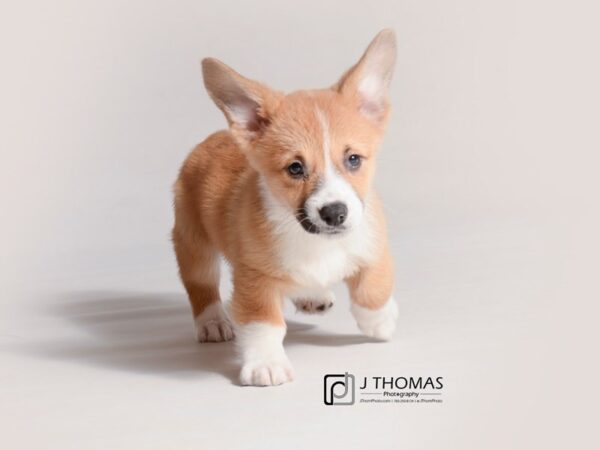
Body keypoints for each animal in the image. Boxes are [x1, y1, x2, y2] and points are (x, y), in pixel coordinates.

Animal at [172, 29, 398, 386]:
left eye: (353, 159)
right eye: (295, 168)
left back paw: (313, 295)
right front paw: (266, 363)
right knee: (201, 284)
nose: (335, 213)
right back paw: (211, 322)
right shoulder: (255, 278)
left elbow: (373, 285)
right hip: (193, 243)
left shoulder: (373, 242)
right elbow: (263, 323)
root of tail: (212, 138)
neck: (316, 242)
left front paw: (380, 321)